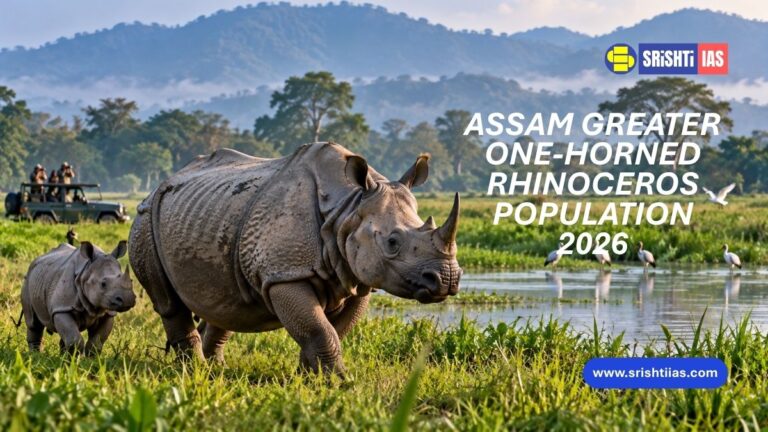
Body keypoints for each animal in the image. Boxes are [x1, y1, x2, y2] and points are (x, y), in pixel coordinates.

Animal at [129, 142, 461, 374]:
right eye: (392, 242)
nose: (446, 279)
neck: (347, 209)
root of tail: (160, 185)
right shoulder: (285, 274)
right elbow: (319, 330)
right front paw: (339, 382)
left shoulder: (358, 278)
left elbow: (331, 331)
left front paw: (309, 378)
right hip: (145, 221)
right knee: (169, 302)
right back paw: (194, 371)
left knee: (224, 300)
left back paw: (215, 369)